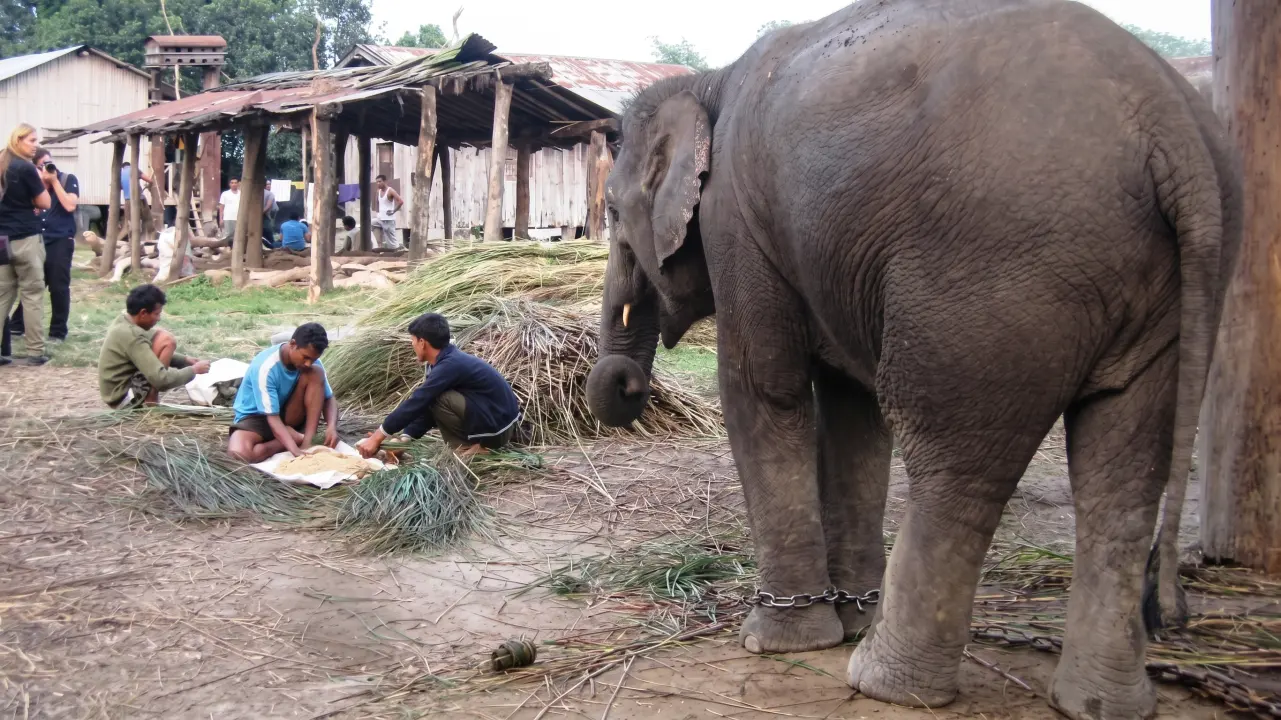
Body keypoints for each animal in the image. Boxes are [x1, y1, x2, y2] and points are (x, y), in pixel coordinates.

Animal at [584, 0, 1241, 718]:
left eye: (611, 211)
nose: (625, 383)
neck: (711, 79)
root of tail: (1171, 125)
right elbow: (852, 412)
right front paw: (849, 616)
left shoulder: (739, 222)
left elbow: (766, 390)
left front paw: (780, 642)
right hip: (1164, 293)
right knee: (1123, 472)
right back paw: (1099, 703)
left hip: (992, 274)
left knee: (954, 460)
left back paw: (884, 681)